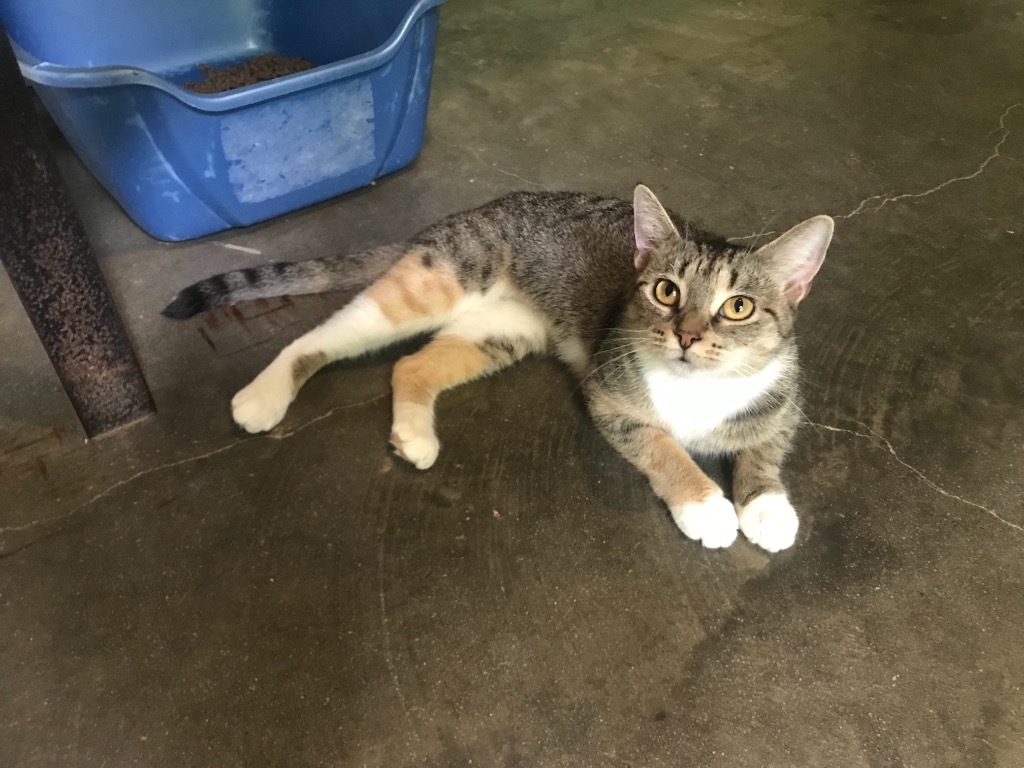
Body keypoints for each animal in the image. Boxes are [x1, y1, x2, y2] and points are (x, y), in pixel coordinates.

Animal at [165, 189, 831, 557]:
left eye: (738, 307)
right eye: (665, 291)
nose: (688, 335)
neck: (699, 387)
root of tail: (474, 211)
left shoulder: (784, 401)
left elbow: (765, 449)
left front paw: (766, 507)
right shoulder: (610, 399)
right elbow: (664, 447)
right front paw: (708, 506)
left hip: (499, 332)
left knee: (410, 363)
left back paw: (415, 435)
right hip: (433, 284)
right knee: (318, 338)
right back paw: (264, 395)